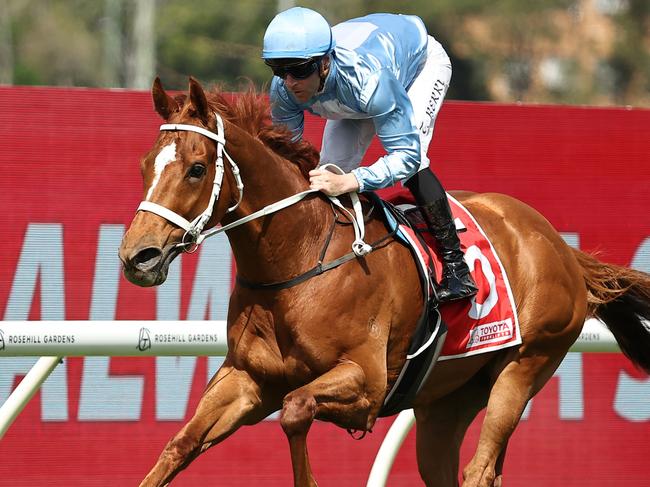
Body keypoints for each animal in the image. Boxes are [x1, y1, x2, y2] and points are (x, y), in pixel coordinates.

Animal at [117, 78, 648, 486]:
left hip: (525, 365)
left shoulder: (367, 383)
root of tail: (559, 246)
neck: (296, 260)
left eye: (196, 169)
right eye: (144, 165)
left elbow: (295, 408)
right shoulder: (248, 378)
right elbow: (181, 443)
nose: (136, 256)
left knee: (479, 469)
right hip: (446, 401)